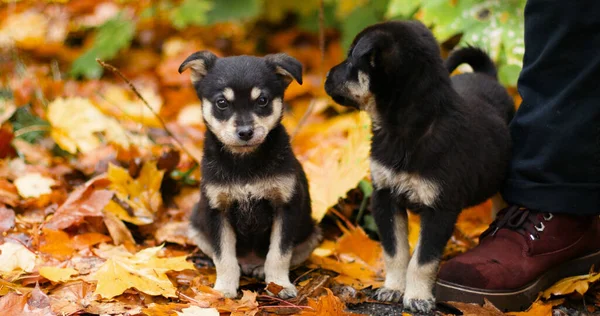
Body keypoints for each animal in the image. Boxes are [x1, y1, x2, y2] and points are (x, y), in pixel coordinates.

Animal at [180, 51, 324, 298]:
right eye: (221, 103)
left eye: (262, 100)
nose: (245, 132)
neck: (245, 162)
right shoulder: (217, 210)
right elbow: (224, 257)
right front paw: (224, 290)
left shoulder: (286, 207)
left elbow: (279, 254)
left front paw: (280, 285)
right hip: (195, 225)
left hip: (313, 232)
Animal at [326, 20, 512, 314]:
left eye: (351, 58)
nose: (326, 75)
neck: (407, 128)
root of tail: (489, 77)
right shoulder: (385, 197)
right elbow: (395, 252)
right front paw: (393, 288)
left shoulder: (440, 209)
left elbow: (423, 260)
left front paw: (417, 297)